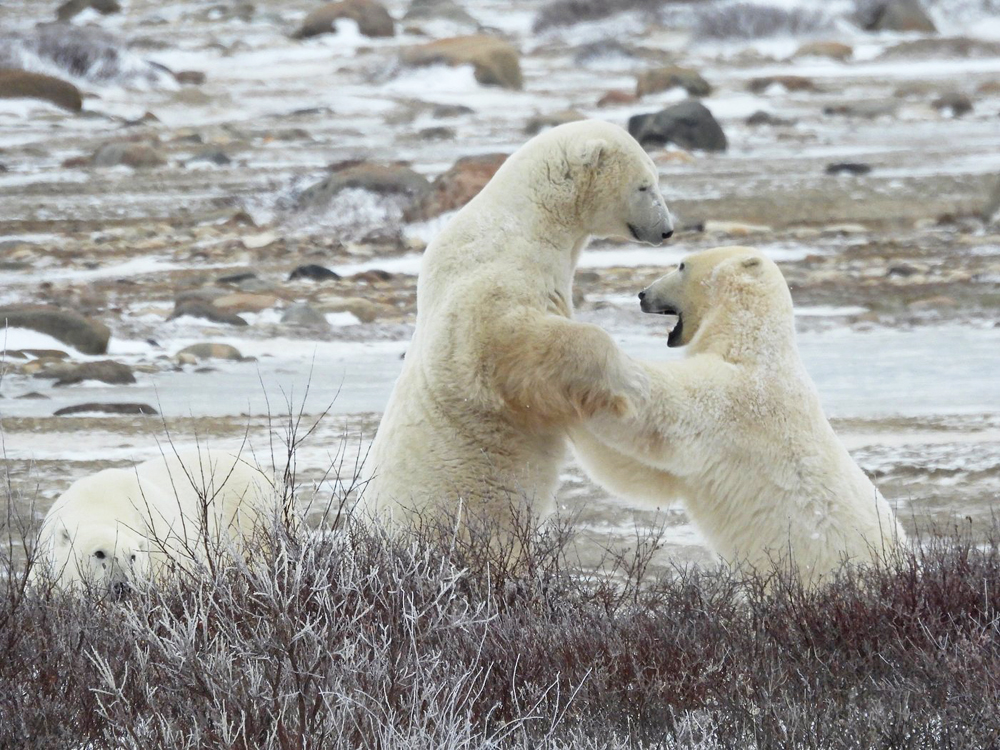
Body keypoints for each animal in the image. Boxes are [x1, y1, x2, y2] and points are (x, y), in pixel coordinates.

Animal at [360, 119, 672, 540]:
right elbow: (507, 341)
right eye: (644, 185)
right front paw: (631, 380)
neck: (529, 220)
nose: (667, 230)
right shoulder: (490, 276)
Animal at [572, 247, 908, 588]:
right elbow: (639, 474)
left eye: (681, 265)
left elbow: (657, 416)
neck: (750, 341)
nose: (642, 294)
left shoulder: (737, 402)